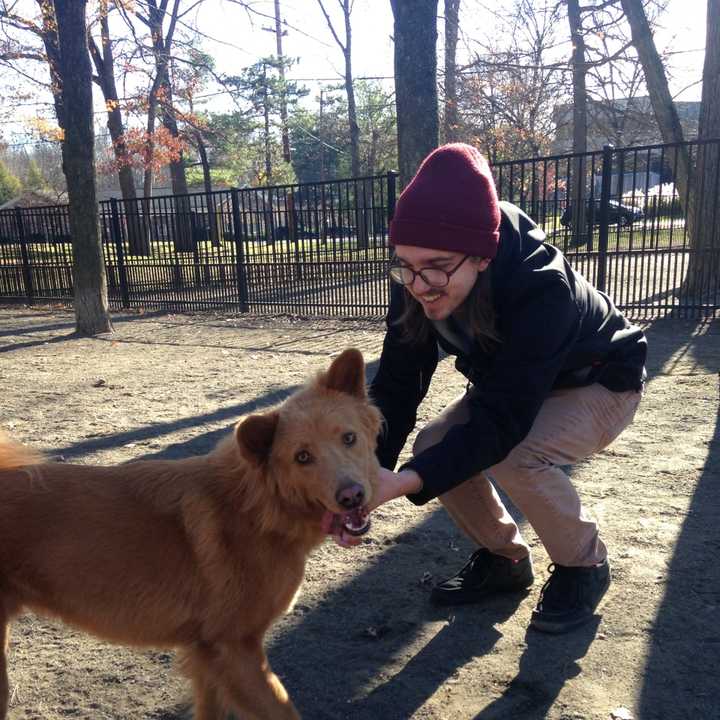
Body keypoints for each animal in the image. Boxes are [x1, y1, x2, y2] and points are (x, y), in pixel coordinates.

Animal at [0, 346, 382, 716]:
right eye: (302, 457)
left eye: (349, 438)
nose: (351, 496)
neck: (255, 508)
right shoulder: (235, 650)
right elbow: (284, 710)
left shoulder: (206, 656)